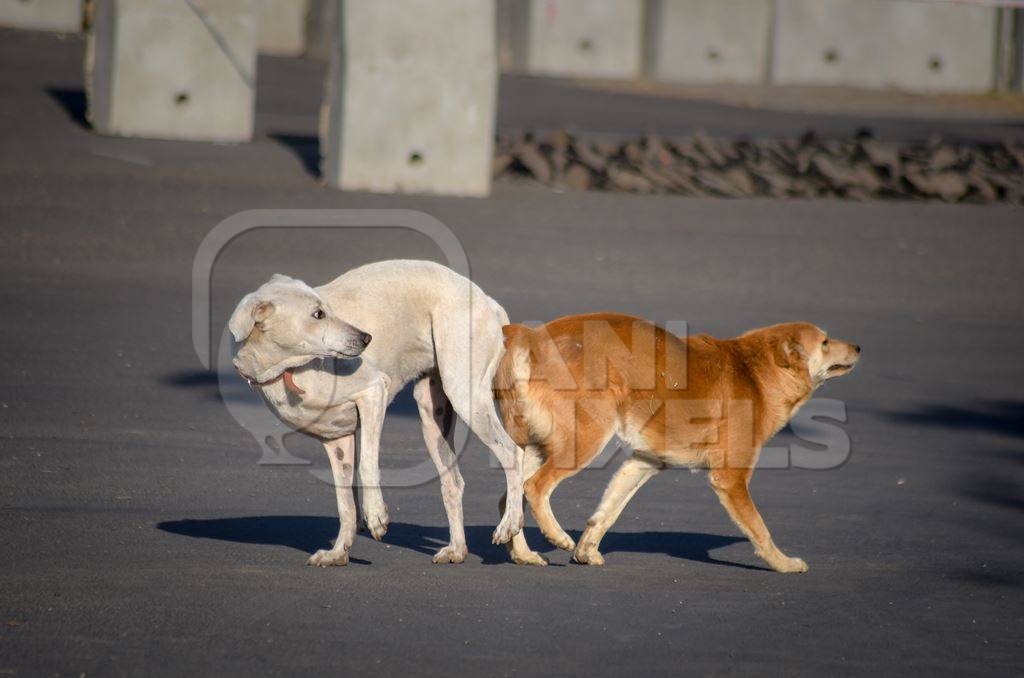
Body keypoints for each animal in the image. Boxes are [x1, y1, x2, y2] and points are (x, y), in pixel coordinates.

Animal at [228, 260, 524, 569]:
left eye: (326, 309)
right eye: (318, 314)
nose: (366, 338)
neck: (289, 370)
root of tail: (487, 301)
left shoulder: (373, 394)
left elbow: (367, 466)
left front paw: (376, 516)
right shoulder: (337, 440)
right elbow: (345, 503)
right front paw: (338, 552)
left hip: (466, 395)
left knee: (513, 453)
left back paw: (509, 525)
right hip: (432, 416)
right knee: (453, 482)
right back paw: (456, 549)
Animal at [491, 315, 860, 573]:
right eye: (825, 342)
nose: (858, 347)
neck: (755, 373)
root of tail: (532, 336)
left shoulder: (643, 463)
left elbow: (606, 513)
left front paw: (587, 551)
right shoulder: (731, 479)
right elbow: (760, 530)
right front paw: (783, 563)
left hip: (537, 446)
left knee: (510, 497)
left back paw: (524, 554)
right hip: (584, 440)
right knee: (534, 488)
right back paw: (556, 536)